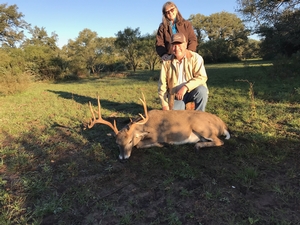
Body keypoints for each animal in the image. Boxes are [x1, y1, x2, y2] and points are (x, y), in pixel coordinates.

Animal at [86, 93, 230, 160]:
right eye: (117, 143)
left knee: (220, 141)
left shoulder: (158, 136)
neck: (145, 124)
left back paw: (198, 146)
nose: (123, 158)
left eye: (130, 141)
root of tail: (222, 124)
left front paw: (162, 144)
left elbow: (141, 145)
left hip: (202, 127)